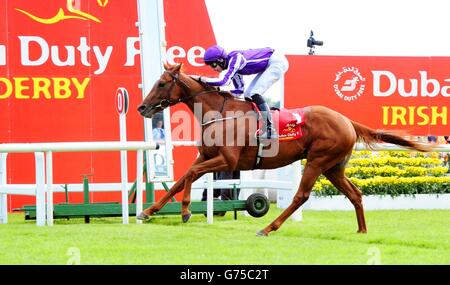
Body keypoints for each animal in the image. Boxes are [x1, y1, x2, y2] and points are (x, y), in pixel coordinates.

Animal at [136, 63, 428, 235]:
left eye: (162, 83)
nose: (142, 107)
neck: (219, 112)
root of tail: (347, 120)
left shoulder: (227, 161)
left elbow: (190, 174)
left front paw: (185, 211)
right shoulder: (206, 155)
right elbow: (181, 179)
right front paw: (148, 212)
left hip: (317, 161)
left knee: (301, 196)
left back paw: (268, 228)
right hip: (334, 167)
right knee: (355, 194)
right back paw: (362, 231)